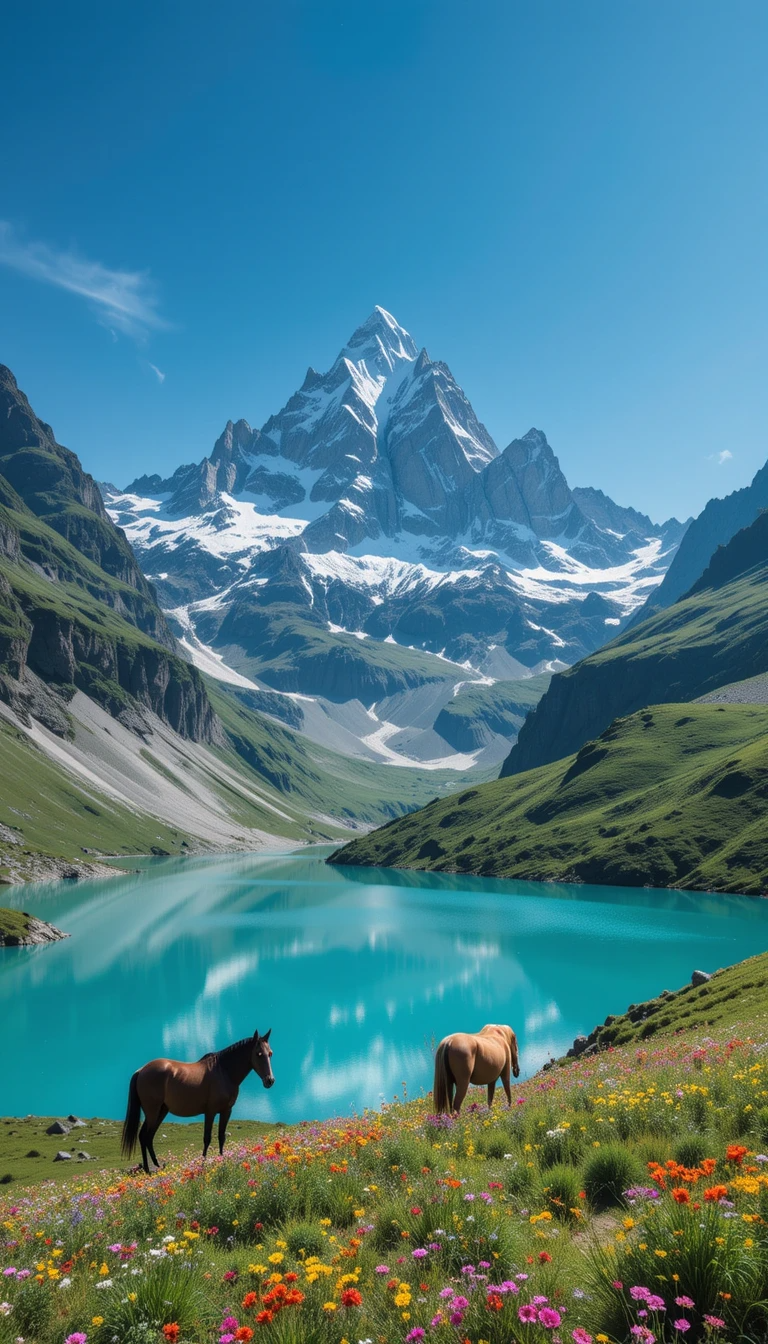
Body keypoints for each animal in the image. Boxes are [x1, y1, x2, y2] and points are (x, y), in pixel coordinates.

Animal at [121, 1029, 274, 1172]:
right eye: (258, 1054)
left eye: (270, 1053)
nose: (270, 1081)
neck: (224, 1072)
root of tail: (141, 1070)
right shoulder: (210, 1112)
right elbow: (207, 1138)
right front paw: (203, 1164)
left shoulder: (226, 1111)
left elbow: (221, 1136)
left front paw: (222, 1161)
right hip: (152, 1112)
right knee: (143, 1136)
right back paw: (148, 1170)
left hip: (161, 1111)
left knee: (148, 1137)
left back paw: (157, 1166)